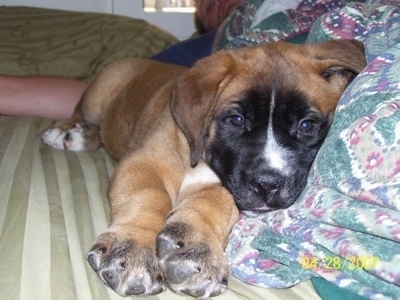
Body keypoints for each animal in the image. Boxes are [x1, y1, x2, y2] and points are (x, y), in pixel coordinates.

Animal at [43, 39, 366, 298]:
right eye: (236, 120)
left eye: (306, 125)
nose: (268, 184)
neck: (200, 157)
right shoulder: (144, 162)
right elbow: (147, 195)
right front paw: (133, 246)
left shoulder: (225, 184)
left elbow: (216, 201)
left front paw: (197, 250)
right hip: (98, 94)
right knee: (78, 113)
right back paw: (67, 134)